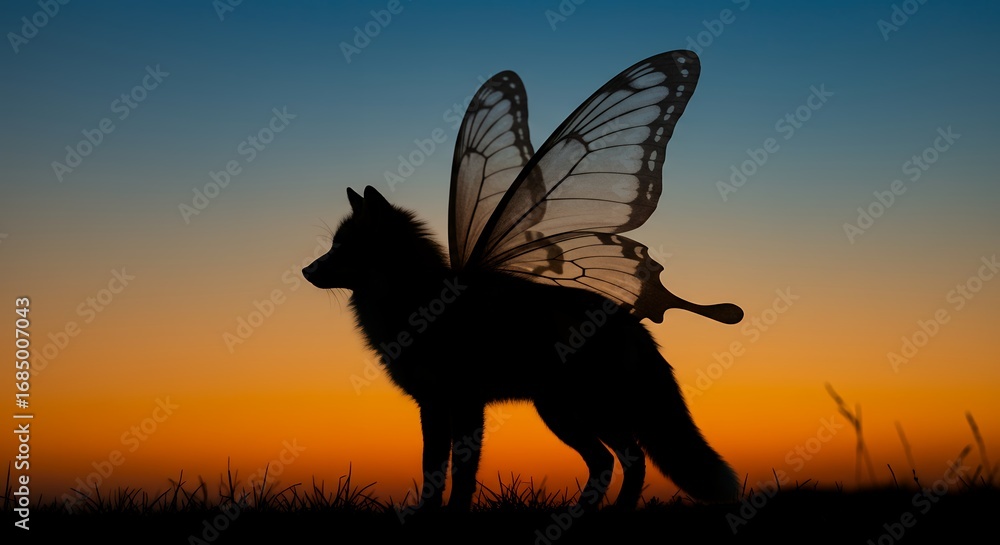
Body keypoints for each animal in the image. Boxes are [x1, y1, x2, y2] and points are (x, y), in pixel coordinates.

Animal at [302, 185, 739, 511]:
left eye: (342, 247)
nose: (306, 270)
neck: (416, 303)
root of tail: (633, 321)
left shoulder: (465, 403)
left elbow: (461, 473)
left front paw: (454, 518)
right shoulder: (432, 404)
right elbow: (432, 469)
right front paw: (427, 517)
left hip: (590, 412)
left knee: (631, 461)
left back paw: (611, 516)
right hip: (563, 414)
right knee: (608, 463)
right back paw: (588, 516)